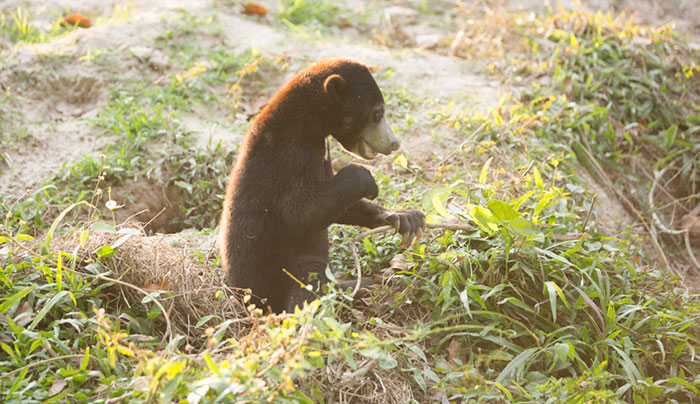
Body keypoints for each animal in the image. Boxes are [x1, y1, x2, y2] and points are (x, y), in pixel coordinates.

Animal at [219, 58, 425, 313]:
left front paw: (405, 217)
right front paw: (365, 179)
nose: (394, 143)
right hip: (276, 273)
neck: (306, 124)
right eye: (377, 114)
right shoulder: (289, 156)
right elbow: (300, 212)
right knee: (309, 276)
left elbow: (338, 204)